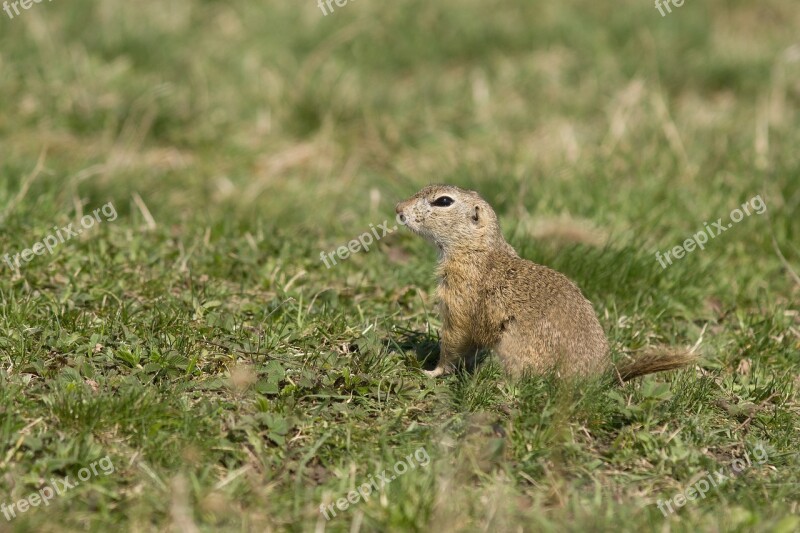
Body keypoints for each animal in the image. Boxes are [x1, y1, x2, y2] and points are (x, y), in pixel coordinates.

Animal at [396, 185, 696, 380]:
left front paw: (431, 371)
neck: (479, 250)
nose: (398, 208)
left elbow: (454, 339)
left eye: (443, 201)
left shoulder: (458, 295)